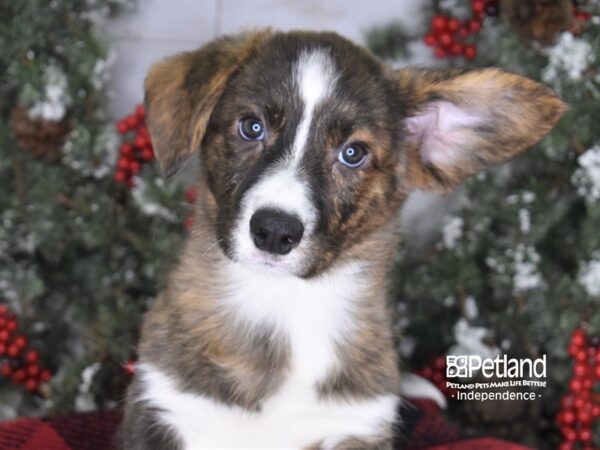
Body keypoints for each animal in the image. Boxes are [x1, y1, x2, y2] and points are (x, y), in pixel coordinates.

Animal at [123, 29, 568, 448]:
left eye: (353, 153)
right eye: (251, 127)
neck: (282, 304)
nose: (274, 232)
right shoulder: (165, 412)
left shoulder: (355, 427)